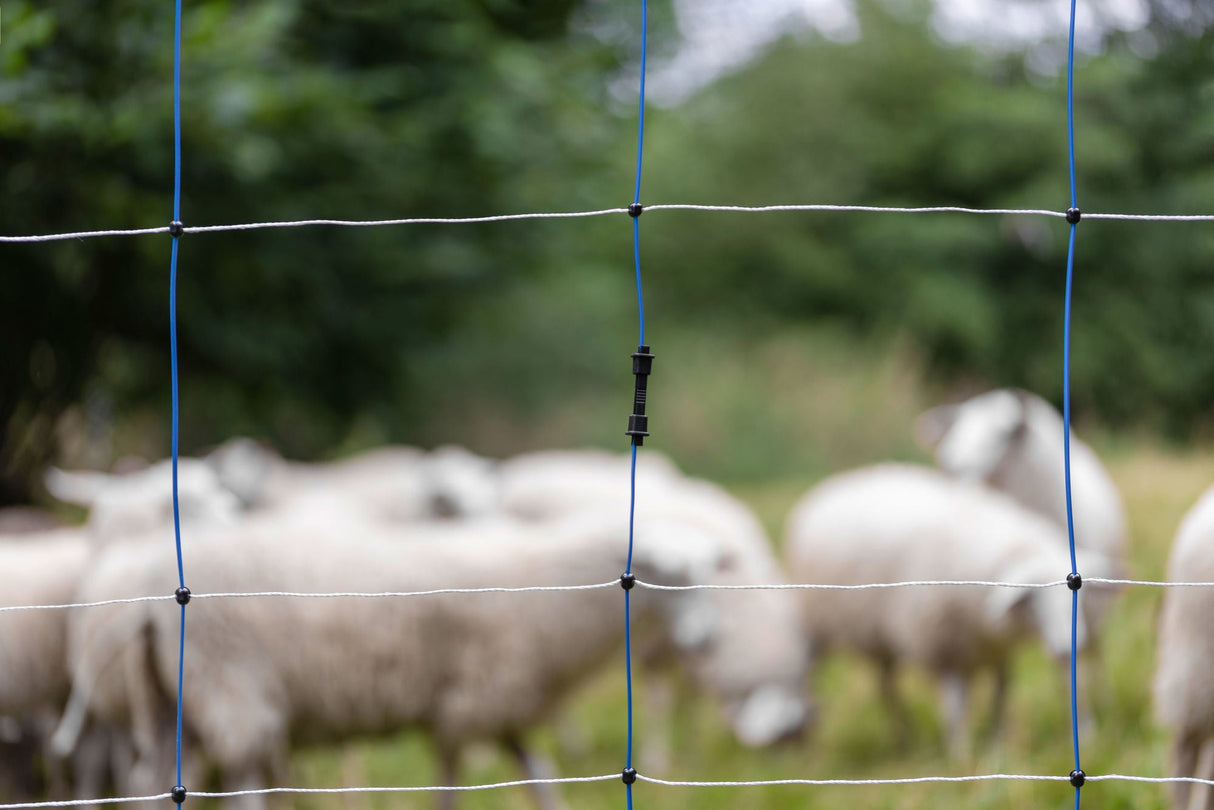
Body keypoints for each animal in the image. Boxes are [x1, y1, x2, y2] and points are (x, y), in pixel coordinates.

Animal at [61, 512, 738, 810]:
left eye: (708, 574)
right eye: (665, 575)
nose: (706, 640)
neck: (552, 585)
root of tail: (150, 597)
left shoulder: (493, 707)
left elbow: (538, 776)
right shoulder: (470, 702)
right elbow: (454, 783)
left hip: (168, 699)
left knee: (152, 782)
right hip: (231, 686)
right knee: (244, 782)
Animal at [781, 466, 1112, 757]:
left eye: (1076, 596)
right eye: (1032, 601)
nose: (1067, 647)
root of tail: (828, 487)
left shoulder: (997, 650)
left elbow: (1002, 693)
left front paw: (997, 742)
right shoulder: (942, 650)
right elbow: (956, 706)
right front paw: (961, 755)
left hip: (879, 636)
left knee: (885, 685)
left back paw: (904, 735)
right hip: (817, 623)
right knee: (813, 676)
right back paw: (811, 747)